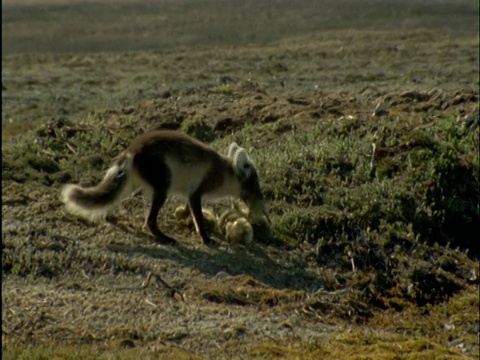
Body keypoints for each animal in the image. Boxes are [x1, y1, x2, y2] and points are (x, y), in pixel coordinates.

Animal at [60, 131, 266, 246]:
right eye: (255, 184)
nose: (262, 208)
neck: (223, 171)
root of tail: (131, 151)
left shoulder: (191, 195)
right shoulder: (195, 193)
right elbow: (198, 218)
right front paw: (206, 239)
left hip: (132, 184)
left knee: (112, 198)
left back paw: (109, 216)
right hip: (162, 187)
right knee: (149, 221)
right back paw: (165, 238)